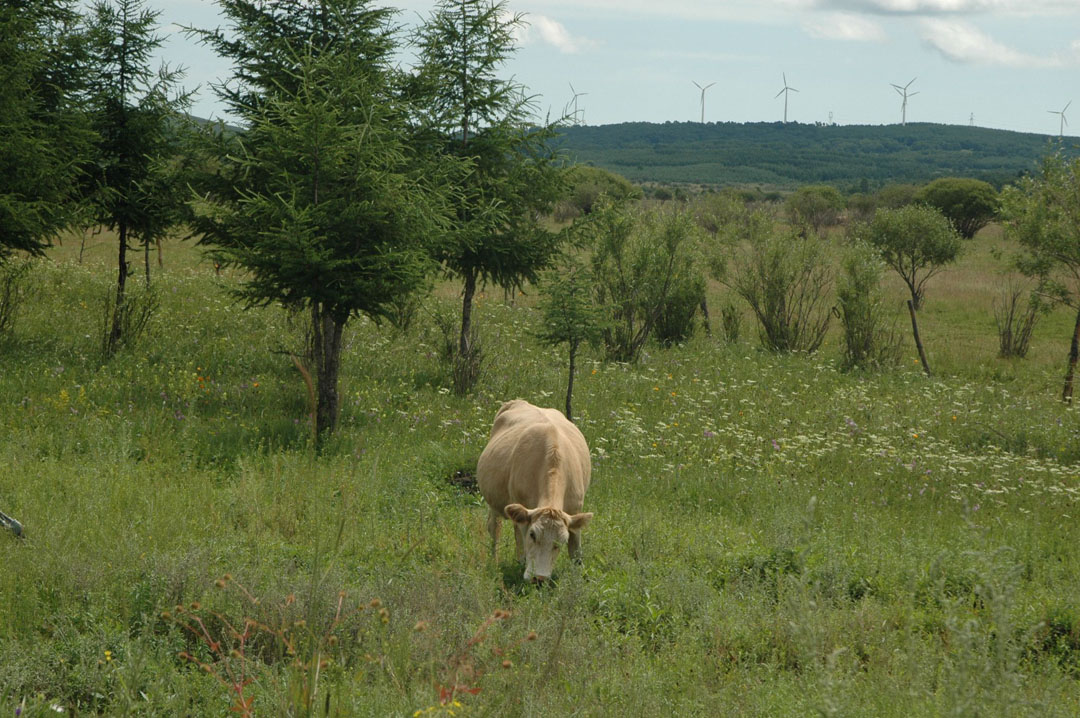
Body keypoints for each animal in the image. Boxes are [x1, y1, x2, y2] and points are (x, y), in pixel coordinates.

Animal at [479, 397, 596, 583]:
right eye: (533, 534)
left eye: (561, 541)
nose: (539, 578)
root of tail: (519, 401)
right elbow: (522, 544)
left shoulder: (575, 510)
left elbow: (576, 552)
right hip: (494, 500)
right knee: (495, 528)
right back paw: (495, 560)